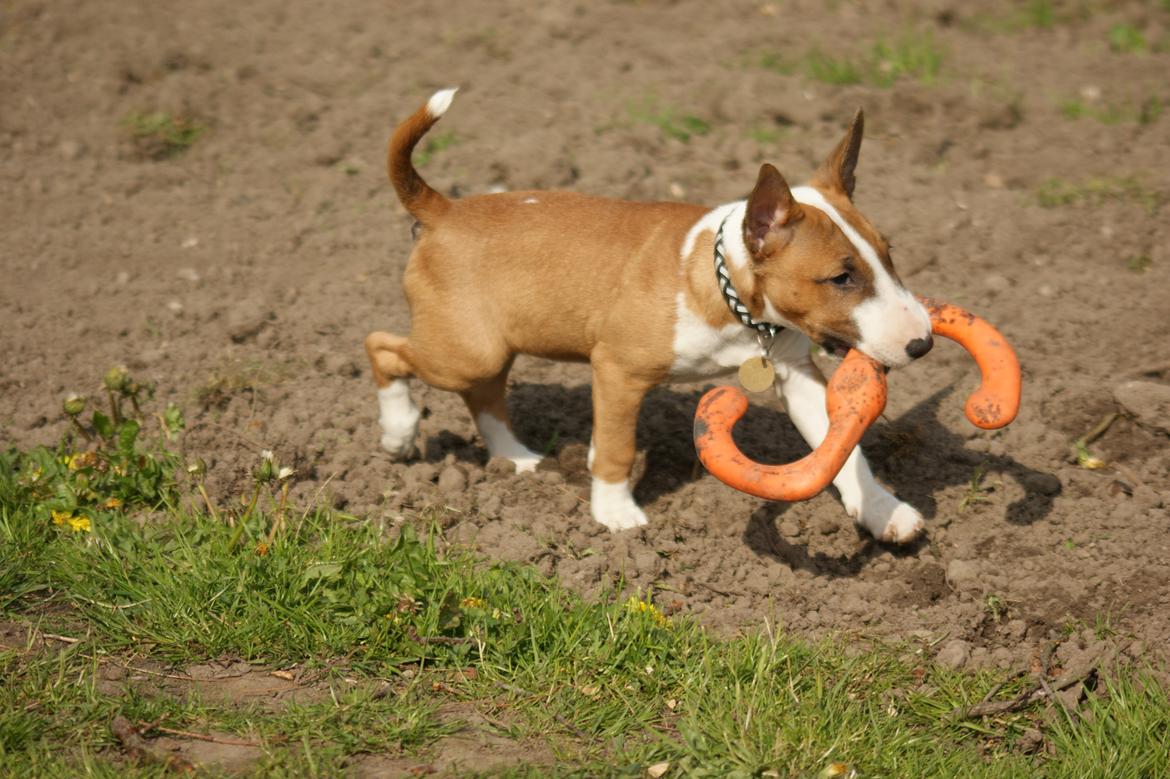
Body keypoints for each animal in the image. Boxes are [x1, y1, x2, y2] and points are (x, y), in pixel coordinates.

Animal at [365, 87, 931, 542]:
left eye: (889, 254)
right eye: (840, 278)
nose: (923, 344)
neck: (722, 287)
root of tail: (443, 210)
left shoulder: (795, 373)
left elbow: (843, 449)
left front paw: (884, 511)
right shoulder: (618, 371)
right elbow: (616, 447)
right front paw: (615, 515)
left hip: (487, 348)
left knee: (482, 394)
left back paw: (516, 459)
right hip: (464, 349)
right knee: (382, 347)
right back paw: (399, 432)